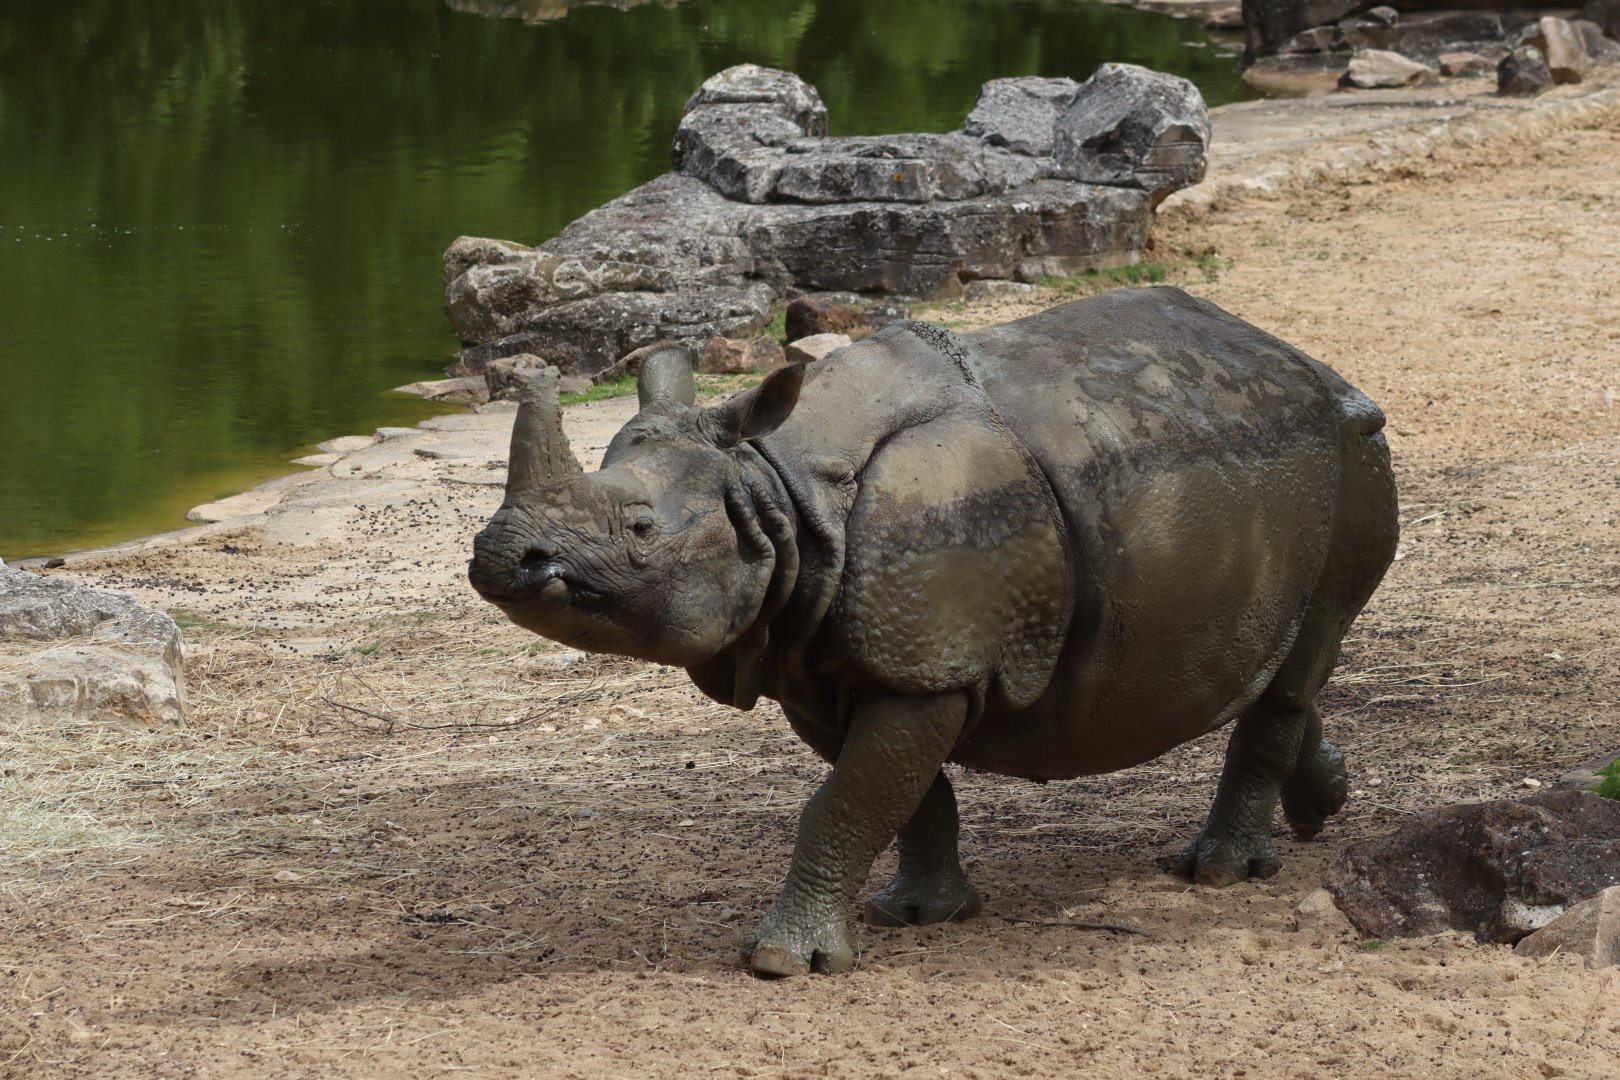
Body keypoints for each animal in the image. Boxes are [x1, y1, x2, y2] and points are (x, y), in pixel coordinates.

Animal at [468, 286, 1399, 977]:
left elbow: (849, 798)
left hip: (1355, 454)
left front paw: (784, 963)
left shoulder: (925, 663)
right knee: (1284, 661)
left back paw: (1221, 871)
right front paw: (920, 915)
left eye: (639, 528)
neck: (774, 489)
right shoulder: (826, 658)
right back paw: (1323, 801)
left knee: (1301, 657)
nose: (501, 557)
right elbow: (899, 793)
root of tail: (1312, 364)